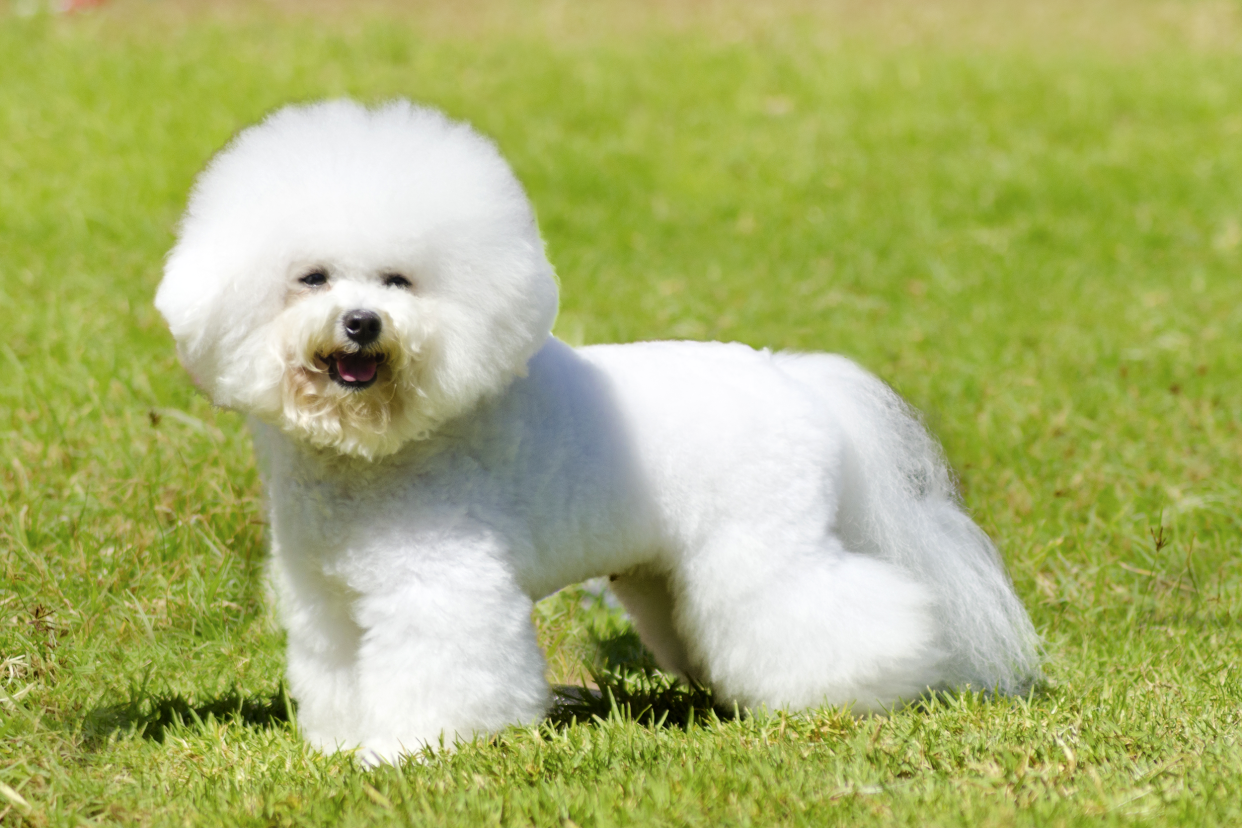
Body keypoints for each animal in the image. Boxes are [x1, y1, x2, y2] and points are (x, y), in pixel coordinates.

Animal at [155, 100, 1038, 769]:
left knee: (836, 612)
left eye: (399, 281)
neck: (376, 449)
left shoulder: (442, 586)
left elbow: (442, 672)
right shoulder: (329, 598)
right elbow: (339, 673)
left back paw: (847, 693)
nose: (362, 324)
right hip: (666, 576)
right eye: (311, 278)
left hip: (764, 549)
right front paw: (342, 747)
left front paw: (410, 752)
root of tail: (795, 382)